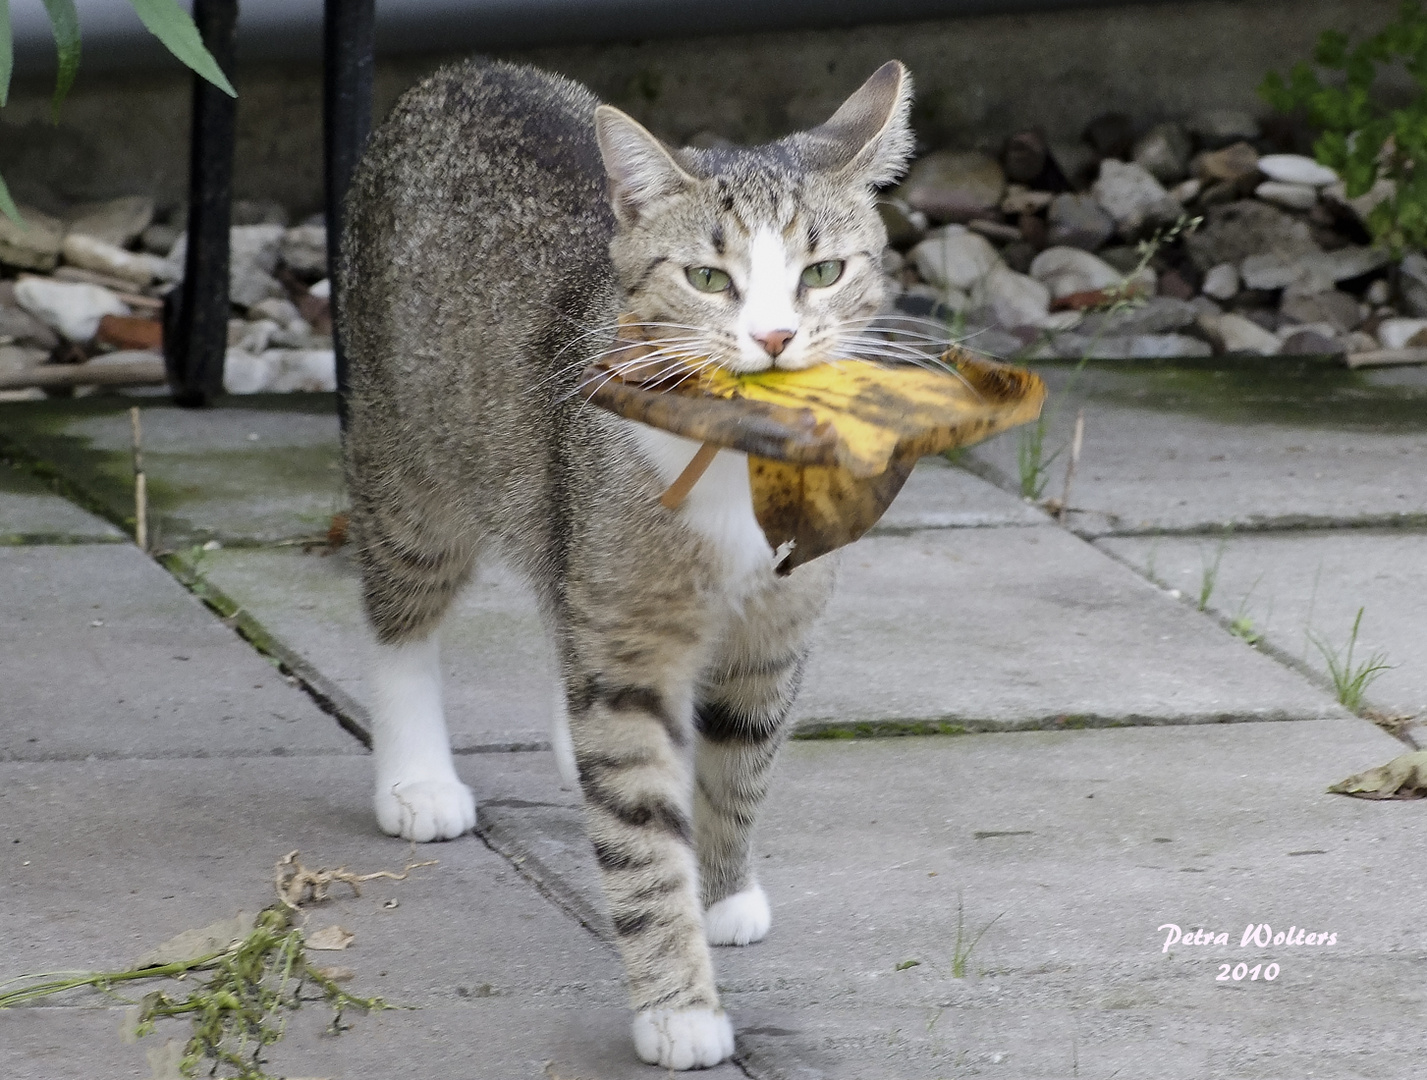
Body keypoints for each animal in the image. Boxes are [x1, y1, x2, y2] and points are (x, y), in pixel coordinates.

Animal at [339, 60, 907, 1072]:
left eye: (823, 273)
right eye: (710, 279)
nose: (772, 339)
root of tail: (459, 72)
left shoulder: (774, 634)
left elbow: (741, 762)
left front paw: (723, 893)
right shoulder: (628, 636)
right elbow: (641, 838)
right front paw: (677, 1010)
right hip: (411, 456)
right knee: (402, 611)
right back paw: (417, 780)